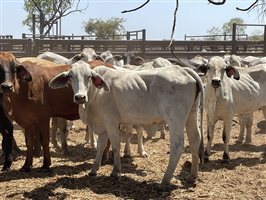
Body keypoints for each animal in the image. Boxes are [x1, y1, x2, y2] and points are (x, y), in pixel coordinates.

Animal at [48, 60, 205, 188]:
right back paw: (192, 176)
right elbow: (100, 147)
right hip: (191, 115)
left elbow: (116, 145)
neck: (95, 94)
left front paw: (116, 171)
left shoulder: (111, 122)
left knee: (178, 146)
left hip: (175, 120)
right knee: (195, 141)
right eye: (71, 76)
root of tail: (184, 70)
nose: (80, 97)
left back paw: (165, 180)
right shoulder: (102, 126)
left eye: (89, 76)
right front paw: (94, 169)